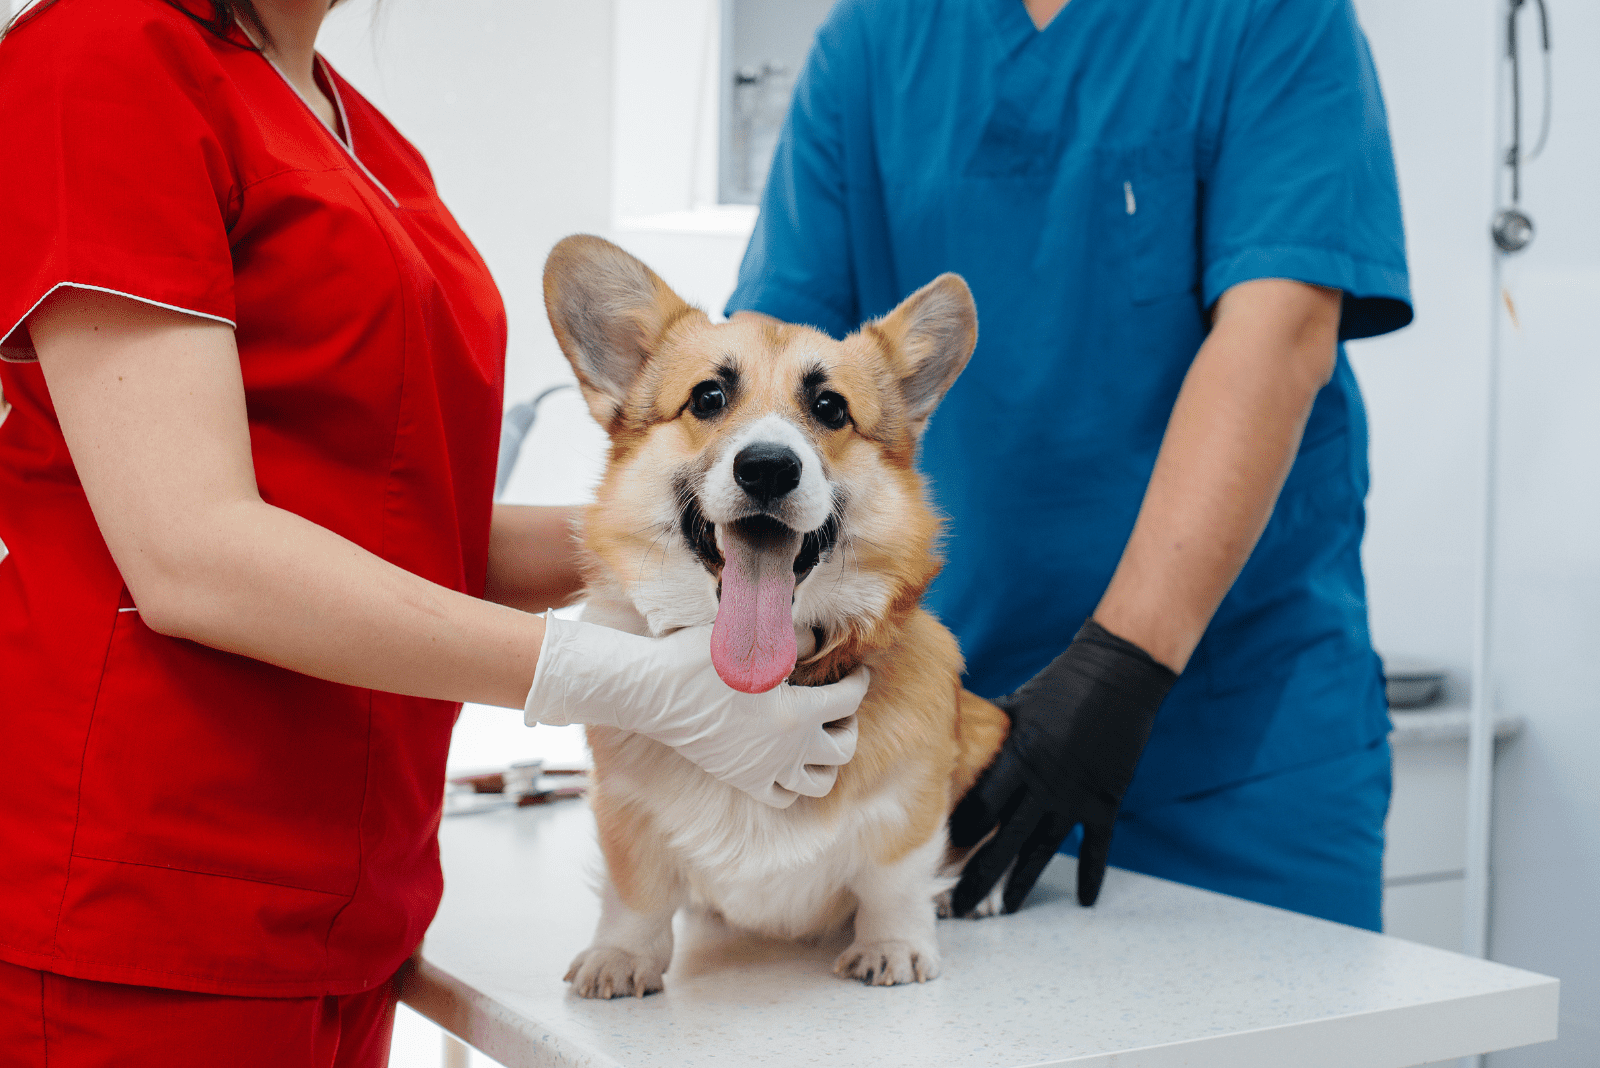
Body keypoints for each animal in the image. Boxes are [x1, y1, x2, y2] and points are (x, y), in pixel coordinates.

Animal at [544, 235, 1004, 1004]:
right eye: (708, 397)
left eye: (829, 406)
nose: (766, 467)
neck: (766, 685)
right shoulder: (624, 812)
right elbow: (636, 894)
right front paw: (621, 956)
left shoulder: (909, 807)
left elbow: (896, 880)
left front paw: (894, 945)